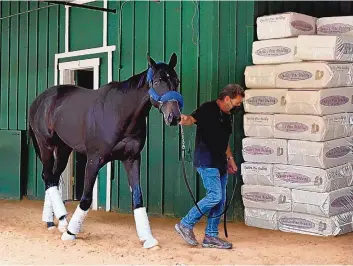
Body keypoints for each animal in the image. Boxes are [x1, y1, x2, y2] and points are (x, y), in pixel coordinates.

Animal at [27, 53, 182, 248]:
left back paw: (55, 222)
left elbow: (138, 198)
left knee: (52, 179)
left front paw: (148, 239)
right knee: (48, 177)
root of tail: (39, 100)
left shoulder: (132, 159)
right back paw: (61, 221)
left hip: (63, 149)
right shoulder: (94, 160)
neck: (119, 112)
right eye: (156, 82)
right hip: (46, 146)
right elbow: (86, 198)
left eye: (176, 81)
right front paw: (71, 233)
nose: (174, 117)